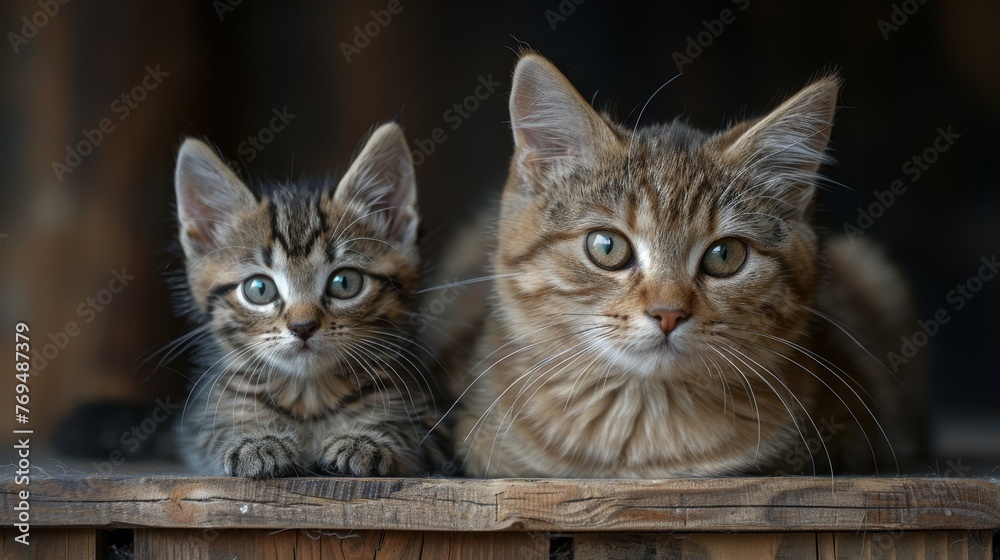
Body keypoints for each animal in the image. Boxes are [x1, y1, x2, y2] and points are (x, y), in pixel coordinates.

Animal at [174, 122, 448, 476]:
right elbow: (217, 435)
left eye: (345, 283)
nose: (303, 326)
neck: (309, 396)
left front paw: (363, 441)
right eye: (259, 289)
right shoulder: (202, 427)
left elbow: (409, 437)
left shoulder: (436, 432)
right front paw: (256, 442)